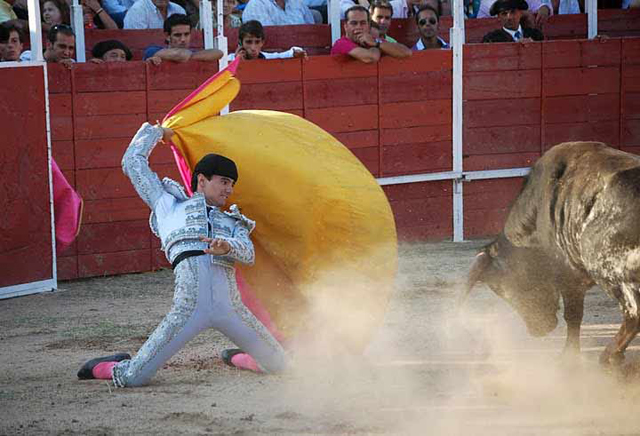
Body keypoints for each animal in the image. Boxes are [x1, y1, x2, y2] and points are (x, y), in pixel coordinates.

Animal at [460, 142, 640, 364]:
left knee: (633, 312)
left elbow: (573, 315)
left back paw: (609, 356)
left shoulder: (568, 275)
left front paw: (568, 355)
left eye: (503, 288)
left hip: (607, 270)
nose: (538, 330)